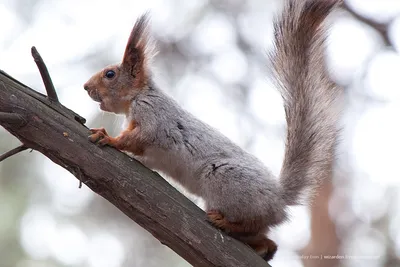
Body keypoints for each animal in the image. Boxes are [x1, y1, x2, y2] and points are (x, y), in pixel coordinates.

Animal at [83, 0, 342, 264]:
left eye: (110, 74)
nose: (85, 87)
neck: (140, 96)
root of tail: (279, 197)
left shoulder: (155, 117)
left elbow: (137, 138)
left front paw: (108, 138)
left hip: (223, 179)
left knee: (248, 223)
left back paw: (227, 224)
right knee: (266, 239)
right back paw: (263, 247)